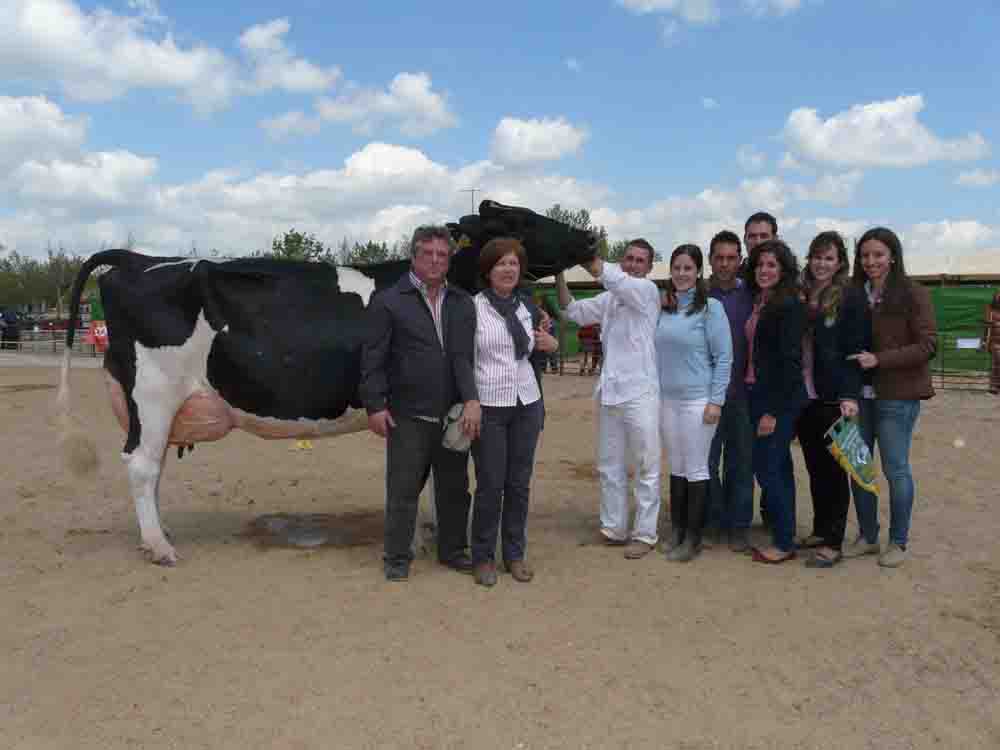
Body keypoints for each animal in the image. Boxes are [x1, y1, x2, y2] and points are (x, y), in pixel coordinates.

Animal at [58, 203, 596, 568]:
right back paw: (160, 546)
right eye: (518, 221)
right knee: (142, 466)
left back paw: (159, 532)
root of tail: (137, 259)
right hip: (153, 392)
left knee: (153, 467)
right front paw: (421, 537)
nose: (591, 238)